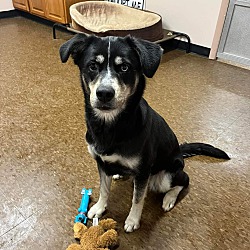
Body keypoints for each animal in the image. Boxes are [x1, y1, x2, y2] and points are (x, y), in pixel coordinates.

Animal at [59, 34, 229, 233]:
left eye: (124, 67)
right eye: (93, 66)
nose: (104, 93)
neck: (111, 125)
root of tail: (180, 152)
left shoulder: (142, 172)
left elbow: (137, 199)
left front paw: (133, 220)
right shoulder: (101, 162)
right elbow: (104, 188)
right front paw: (99, 207)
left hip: (164, 177)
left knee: (183, 180)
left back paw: (169, 198)